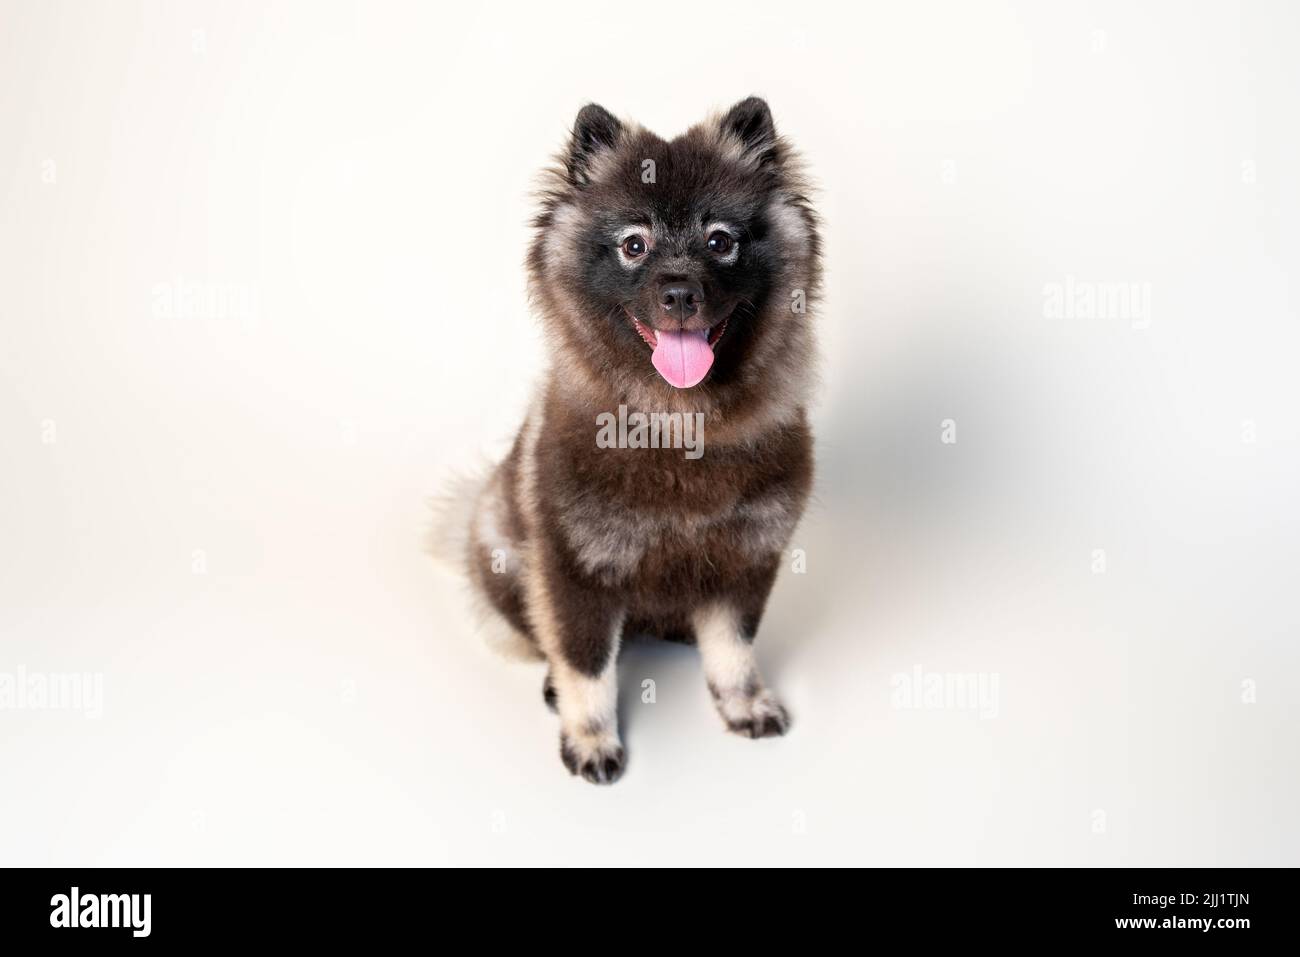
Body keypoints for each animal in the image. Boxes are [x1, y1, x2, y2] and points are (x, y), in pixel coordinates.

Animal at [436, 97, 821, 785]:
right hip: (498, 548)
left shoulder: (746, 559)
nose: (679, 292)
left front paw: (744, 704)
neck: (676, 420)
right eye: (633, 245)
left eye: (720, 241)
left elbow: (733, 649)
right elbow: (586, 666)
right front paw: (590, 739)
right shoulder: (575, 570)